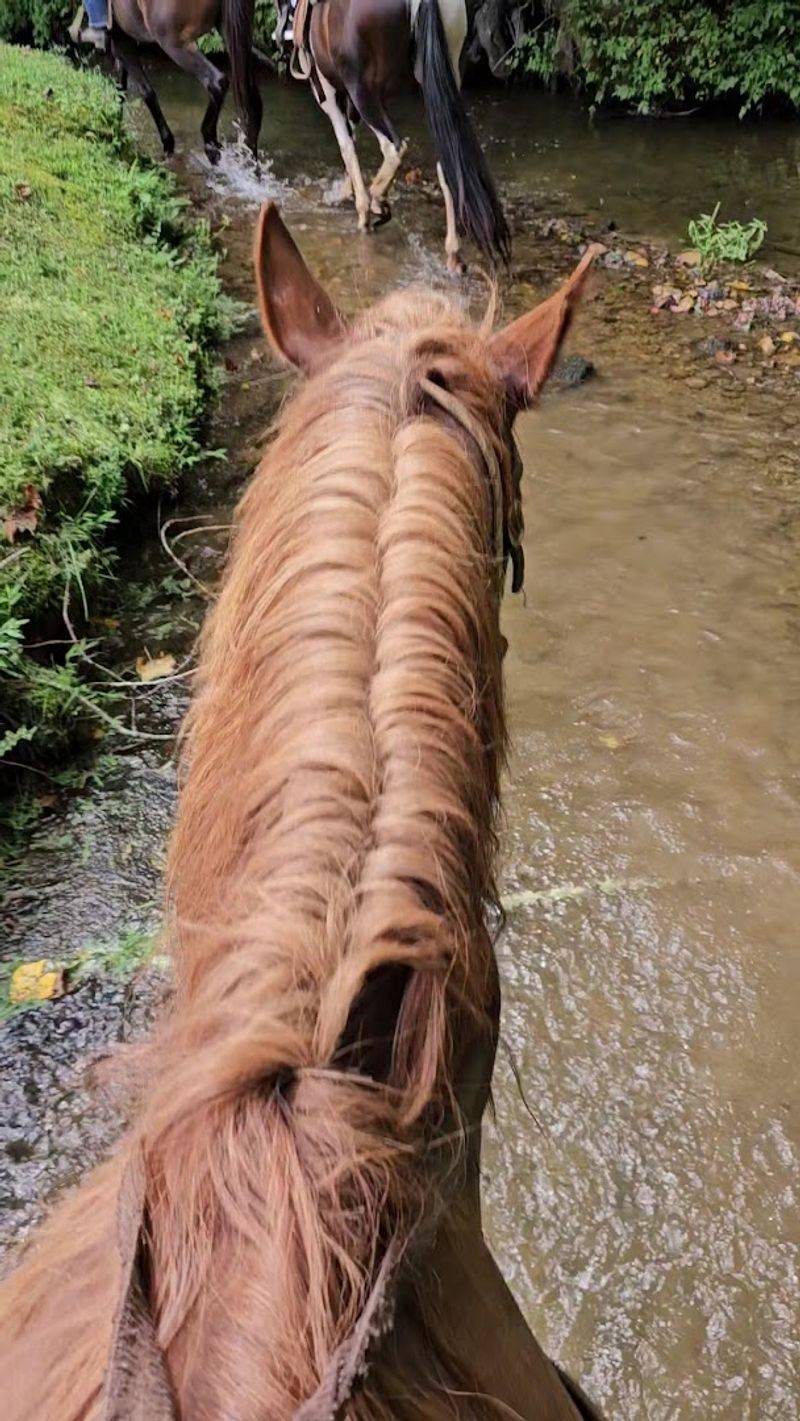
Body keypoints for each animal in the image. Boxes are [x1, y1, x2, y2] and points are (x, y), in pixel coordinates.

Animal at [105, 0, 262, 163]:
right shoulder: (122, 38)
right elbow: (121, 88)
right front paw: (115, 128)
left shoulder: (121, 41)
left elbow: (145, 91)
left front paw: (167, 143)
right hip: (231, 33)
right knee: (252, 99)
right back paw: (249, 157)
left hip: (174, 44)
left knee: (217, 82)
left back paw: (210, 142)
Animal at [294, 0, 510, 271]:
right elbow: (352, 138)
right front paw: (345, 193)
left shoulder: (328, 91)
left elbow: (346, 145)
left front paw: (361, 208)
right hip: (441, 82)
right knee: (447, 162)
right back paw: (453, 253)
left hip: (363, 91)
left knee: (393, 148)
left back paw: (376, 201)